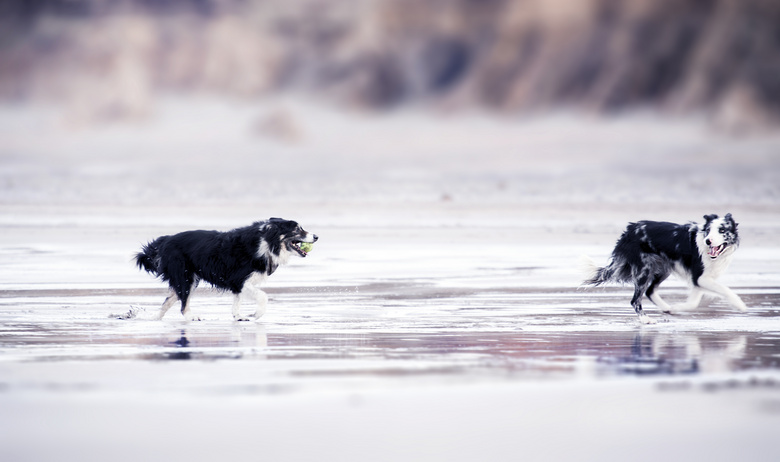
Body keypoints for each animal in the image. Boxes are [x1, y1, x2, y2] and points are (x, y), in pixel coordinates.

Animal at [136, 217, 316, 320]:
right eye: (297, 229)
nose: (316, 236)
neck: (267, 241)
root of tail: (164, 241)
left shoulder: (238, 285)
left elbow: (237, 302)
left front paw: (238, 317)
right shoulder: (239, 279)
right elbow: (263, 296)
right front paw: (256, 314)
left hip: (188, 278)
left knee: (169, 300)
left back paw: (154, 318)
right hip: (185, 276)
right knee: (183, 303)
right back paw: (192, 317)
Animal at [580, 215, 748, 324]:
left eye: (722, 230)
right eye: (708, 230)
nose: (708, 241)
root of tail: (628, 232)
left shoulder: (699, 280)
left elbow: (694, 302)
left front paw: (676, 308)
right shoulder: (700, 277)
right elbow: (726, 290)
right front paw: (740, 305)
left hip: (663, 269)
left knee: (649, 291)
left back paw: (667, 308)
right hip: (645, 270)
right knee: (635, 299)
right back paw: (645, 319)